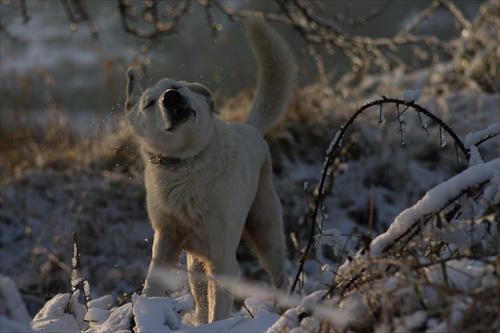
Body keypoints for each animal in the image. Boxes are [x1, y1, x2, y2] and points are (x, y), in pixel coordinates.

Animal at [125, 16, 294, 322]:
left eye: (176, 86)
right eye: (148, 104)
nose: (171, 97)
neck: (187, 165)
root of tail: (250, 128)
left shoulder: (223, 257)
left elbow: (220, 307)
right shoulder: (165, 240)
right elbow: (152, 284)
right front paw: (148, 313)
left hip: (266, 230)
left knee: (279, 273)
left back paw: (282, 310)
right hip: (197, 261)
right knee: (201, 292)